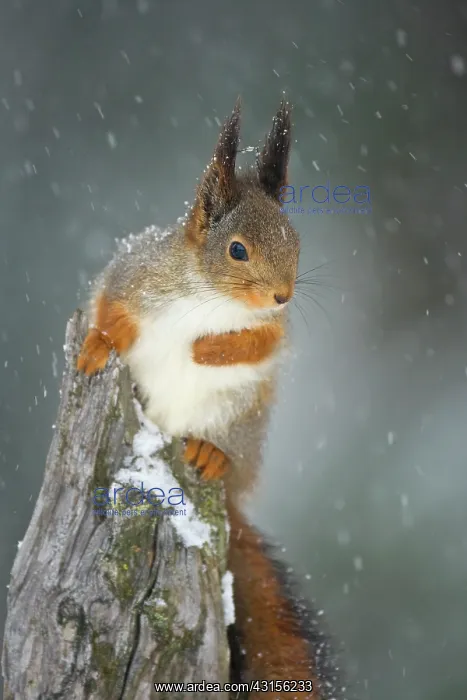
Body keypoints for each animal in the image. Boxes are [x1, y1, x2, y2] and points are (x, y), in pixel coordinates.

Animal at [77, 99, 343, 699]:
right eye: (237, 249)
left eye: (295, 242)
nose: (283, 294)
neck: (208, 293)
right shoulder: (132, 275)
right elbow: (108, 308)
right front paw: (98, 344)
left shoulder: (273, 328)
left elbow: (258, 342)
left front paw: (209, 349)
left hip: (240, 419)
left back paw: (212, 453)